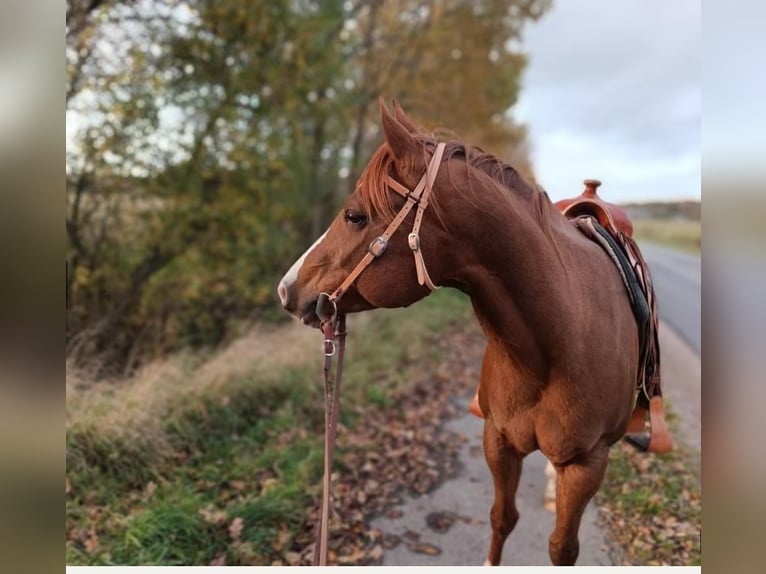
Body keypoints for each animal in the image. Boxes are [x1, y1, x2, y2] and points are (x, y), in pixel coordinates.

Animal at [277, 99, 645, 566]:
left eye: (354, 216)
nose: (286, 288)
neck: (554, 346)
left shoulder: (587, 465)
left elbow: (562, 548)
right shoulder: (497, 441)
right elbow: (501, 519)